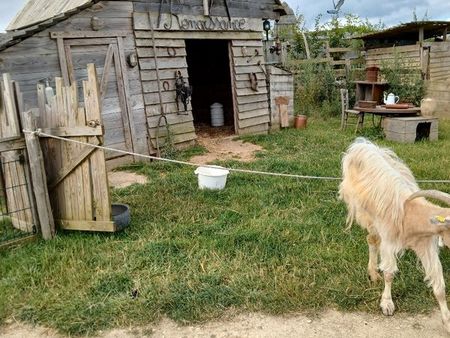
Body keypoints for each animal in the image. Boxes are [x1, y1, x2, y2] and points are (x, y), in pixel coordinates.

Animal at [340, 138, 450, 332]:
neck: (411, 213)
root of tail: (362, 144)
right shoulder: (389, 242)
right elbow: (389, 273)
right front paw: (387, 304)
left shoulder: (425, 246)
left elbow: (439, 285)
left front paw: (447, 321)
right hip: (366, 213)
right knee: (372, 239)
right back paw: (373, 273)